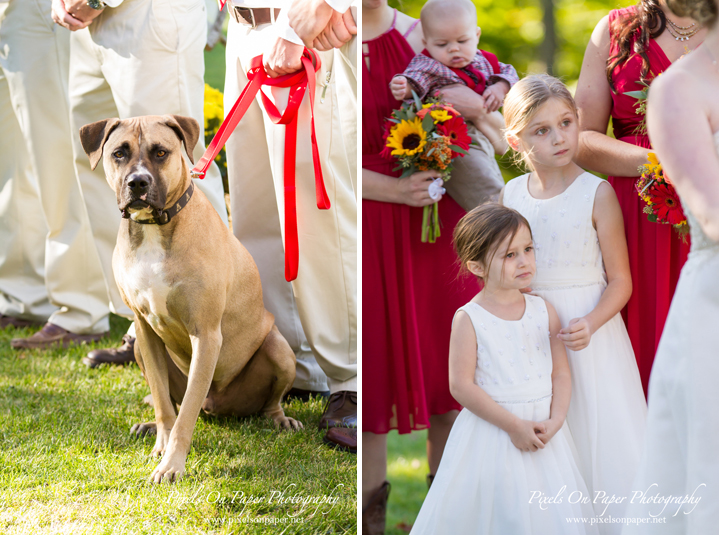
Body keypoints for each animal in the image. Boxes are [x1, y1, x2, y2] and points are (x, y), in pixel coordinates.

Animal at [79, 116, 300, 486]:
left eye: (160, 152)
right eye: (119, 153)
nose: (138, 182)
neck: (154, 228)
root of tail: (217, 405)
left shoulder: (206, 335)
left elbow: (184, 421)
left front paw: (172, 464)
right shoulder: (145, 332)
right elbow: (164, 405)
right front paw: (162, 441)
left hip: (279, 349)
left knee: (265, 401)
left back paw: (280, 419)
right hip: (139, 351)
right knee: (175, 401)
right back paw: (149, 425)